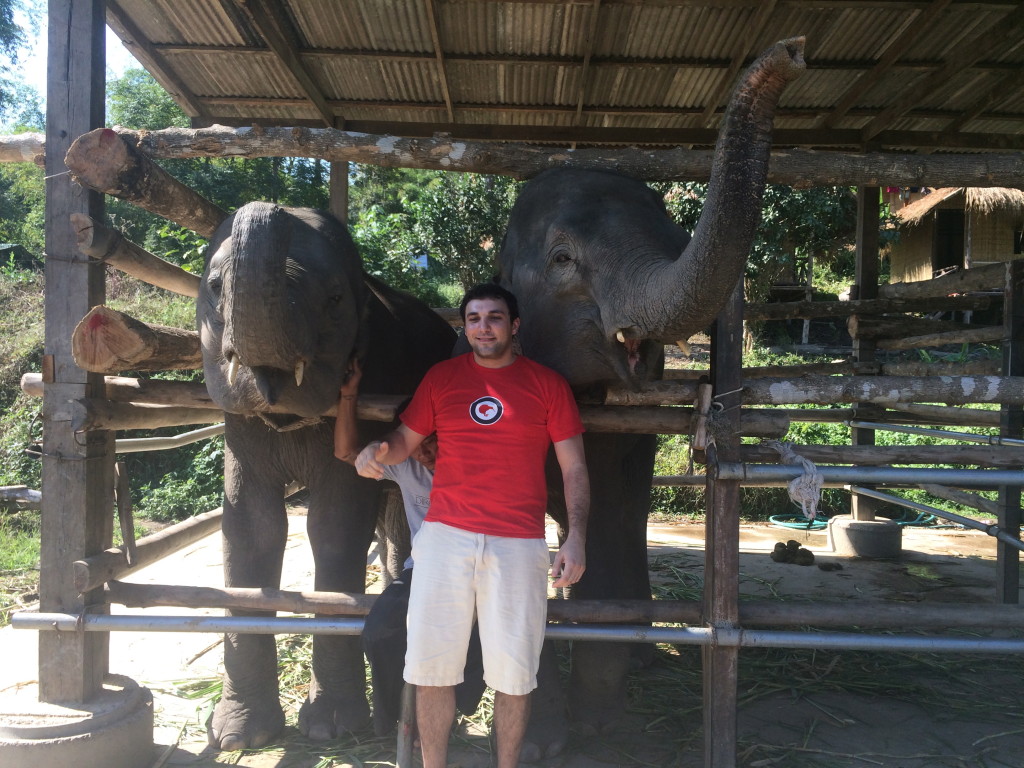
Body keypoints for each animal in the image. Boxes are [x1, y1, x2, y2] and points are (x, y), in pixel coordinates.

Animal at [197, 204, 454, 753]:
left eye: (335, 299)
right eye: (213, 286)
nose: (271, 205)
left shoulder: (377, 376)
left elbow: (334, 524)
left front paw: (332, 728)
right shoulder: (238, 424)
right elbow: (251, 525)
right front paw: (238, 738)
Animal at [489, 39, 806, 753]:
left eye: (672, 238)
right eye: (562, 259)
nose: (792, 51)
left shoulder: (621, 432)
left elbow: (606, 512)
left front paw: (600, 721)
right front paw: (540, 739)